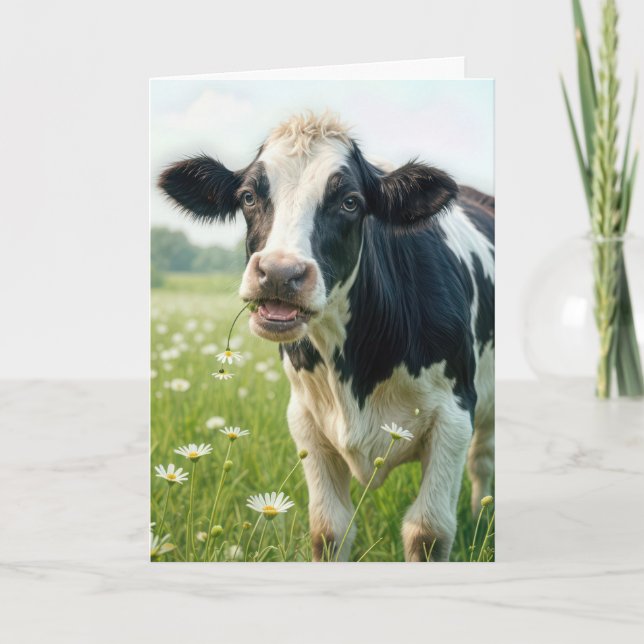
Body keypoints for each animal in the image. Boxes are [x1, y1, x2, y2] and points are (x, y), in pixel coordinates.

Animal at [159, 112, 494, 562]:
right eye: (248, 196)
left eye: (350, 202)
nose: (280, 273)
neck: (359, 370)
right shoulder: (304, 419)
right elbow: (328, 530)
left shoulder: (455, 416)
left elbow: (428, 532)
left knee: (482, 462)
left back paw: (479, 518)